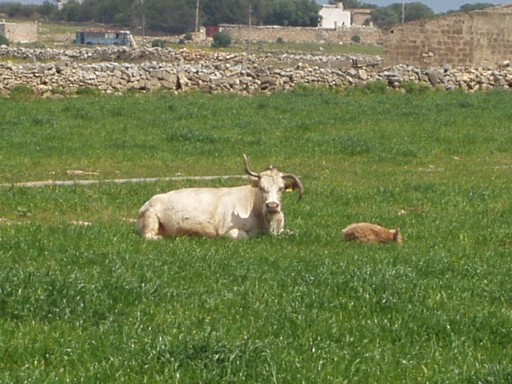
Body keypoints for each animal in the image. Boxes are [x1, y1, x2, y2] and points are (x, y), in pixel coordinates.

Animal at [136, 155, 304, 240]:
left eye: (281, 188)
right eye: (262, 188)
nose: (272, 205)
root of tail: (149, 202)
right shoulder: (229, 231)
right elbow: (244, 237)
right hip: (151, 218)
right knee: (149, 236)